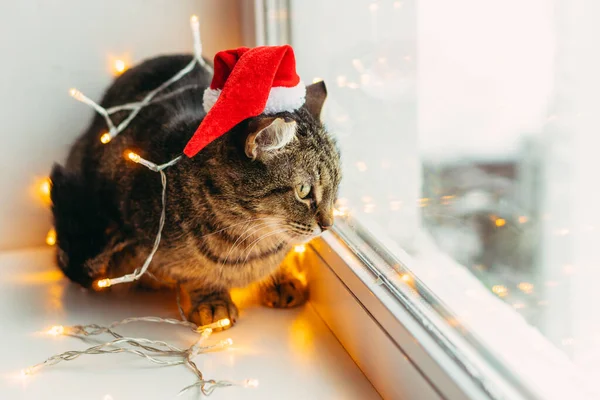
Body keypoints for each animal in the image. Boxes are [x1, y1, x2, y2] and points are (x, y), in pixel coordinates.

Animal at [50, 53, 342, 328]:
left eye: (337, 183)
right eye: (303, 191)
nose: (328, 224)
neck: (249, 242)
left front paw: (280, 278)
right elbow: (194, 274)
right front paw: (212, 302)